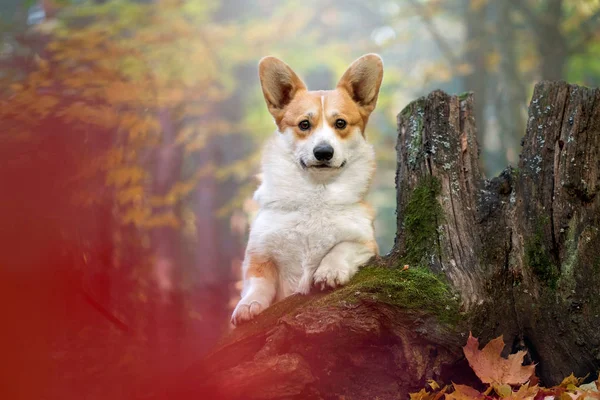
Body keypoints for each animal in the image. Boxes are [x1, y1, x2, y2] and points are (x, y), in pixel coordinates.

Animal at [231, 53, 384, 324]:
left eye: (340, 123)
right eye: (304, 124)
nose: (323, 152)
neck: (316, 192)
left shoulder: (367, 244)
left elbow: (341, 247)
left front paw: (329, 271)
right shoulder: (259, 253)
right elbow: (257, 281)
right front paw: (249, 305)